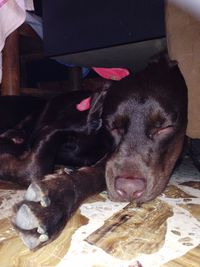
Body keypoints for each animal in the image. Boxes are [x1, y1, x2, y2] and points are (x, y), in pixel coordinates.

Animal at [0, 54, 188, 249]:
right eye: (112, 125)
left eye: (164, 128)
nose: (129, 189)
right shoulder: (51, 130)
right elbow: (34, 169)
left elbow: (99, 173)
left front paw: (56, 201)